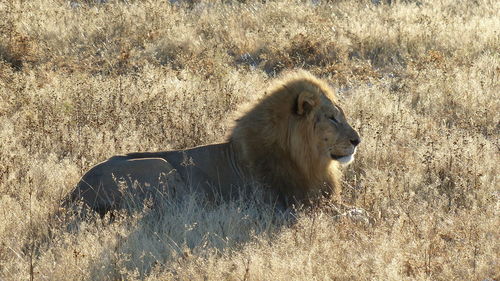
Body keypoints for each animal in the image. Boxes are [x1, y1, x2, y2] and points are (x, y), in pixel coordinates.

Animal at [69, 70, 360, 217]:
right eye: (332, 118)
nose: (357, 140)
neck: (307, 159)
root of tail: (74, 195)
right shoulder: (283, 205)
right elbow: (346, 211)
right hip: (160, 165)